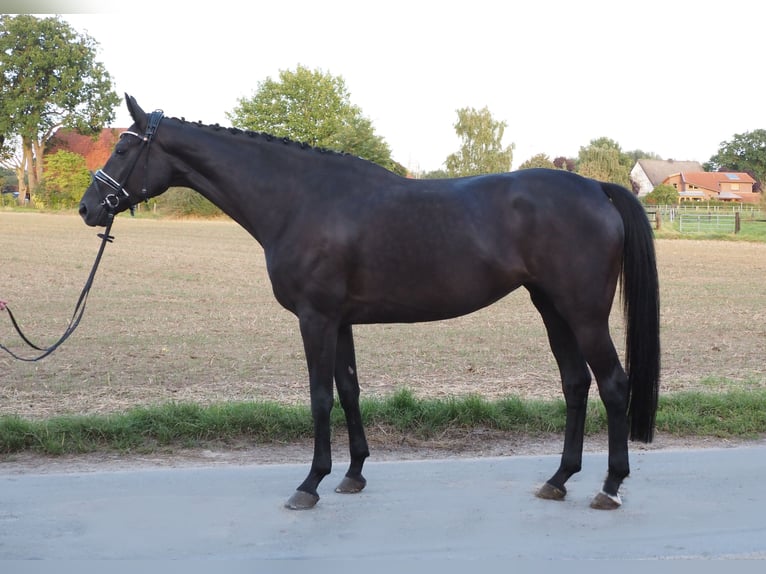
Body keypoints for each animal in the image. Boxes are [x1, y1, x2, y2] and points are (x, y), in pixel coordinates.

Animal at [81, 95, 664, 512]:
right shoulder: (339, 322)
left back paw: (610, 486)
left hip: (583, 313)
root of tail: (596, 186)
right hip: (552, 309)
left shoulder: (315, 320)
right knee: (576, 384)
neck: (300, 199)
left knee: (613, 384)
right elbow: (349, 390)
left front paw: (309, 484)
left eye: (124, 150)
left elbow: (320, 397)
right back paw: (558, 479)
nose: (89, 207)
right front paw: (353, 474)